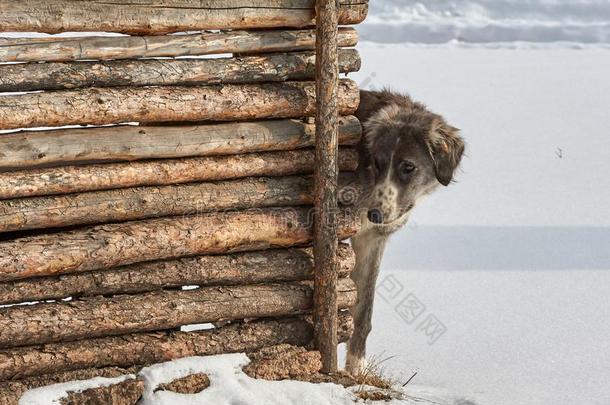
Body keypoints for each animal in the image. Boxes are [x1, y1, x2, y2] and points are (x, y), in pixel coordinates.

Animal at [340, 90, 464, 374]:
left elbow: (363, 311)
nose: (374, 215)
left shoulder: (371, 240)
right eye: (377, 162)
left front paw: (356, 369)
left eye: (408, 167)